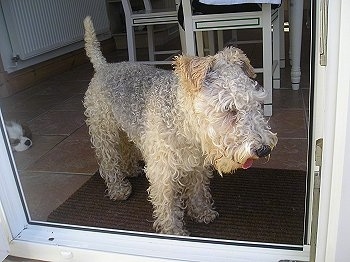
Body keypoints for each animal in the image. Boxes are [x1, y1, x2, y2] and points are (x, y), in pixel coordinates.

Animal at [83, 17, 278, 236]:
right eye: (229, 109)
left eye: (257, 103)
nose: (264, 149)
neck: (185, 126)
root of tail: (104, 67)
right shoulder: (163, 173)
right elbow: (168, 207)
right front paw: (174, 233)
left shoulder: (197, 165)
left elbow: (198, 191)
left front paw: (202, 213)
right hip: (104, 132)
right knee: (108, 161)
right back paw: (119, 189)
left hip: (124, 128)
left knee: (127, 147)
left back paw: (132, 169)